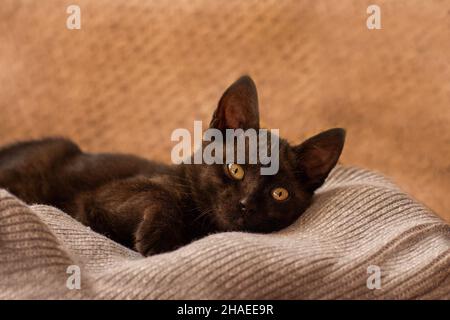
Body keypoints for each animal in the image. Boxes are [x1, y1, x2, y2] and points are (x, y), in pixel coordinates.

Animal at [0, 76, 346, 256]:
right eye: (235, 169)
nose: (246, 204)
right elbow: (160, 195)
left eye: (279, 194)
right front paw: (158, 239)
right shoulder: (101, 196)